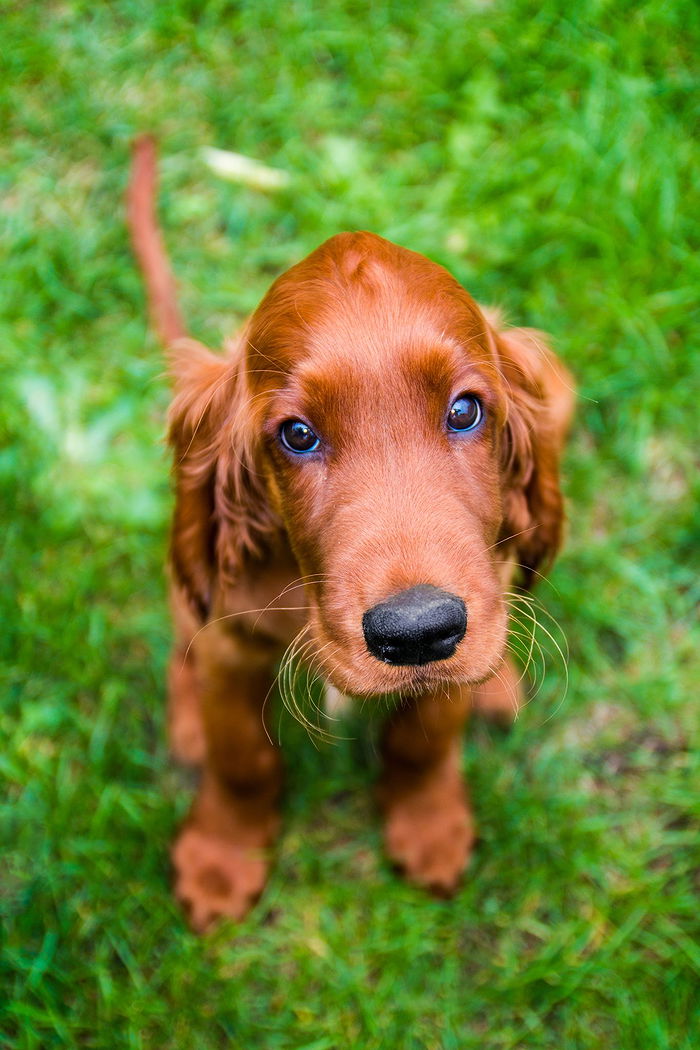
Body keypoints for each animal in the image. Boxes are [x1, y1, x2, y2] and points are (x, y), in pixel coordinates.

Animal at [127, 137, 575, 928]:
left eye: (465, 411)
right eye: (298, 435)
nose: (417, 630)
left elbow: (426, 737)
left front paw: (430, 826)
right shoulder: (233, 643)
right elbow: (241, 758)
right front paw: (220, 858)